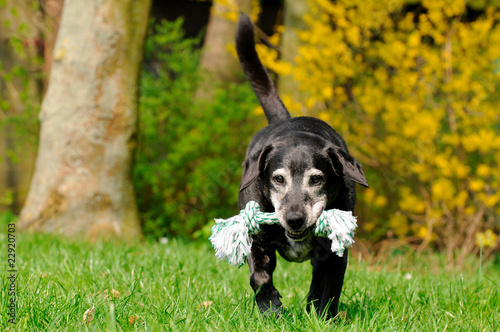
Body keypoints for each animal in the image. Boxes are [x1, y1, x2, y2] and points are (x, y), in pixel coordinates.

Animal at [236, 13, 370, 320]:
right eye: (278, 179)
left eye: (317, 179)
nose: (295, 218)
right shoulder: (256, 239)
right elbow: (259, 276)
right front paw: (271, 308)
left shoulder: (334, 252)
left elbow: (327, 288)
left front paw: (320, 318)